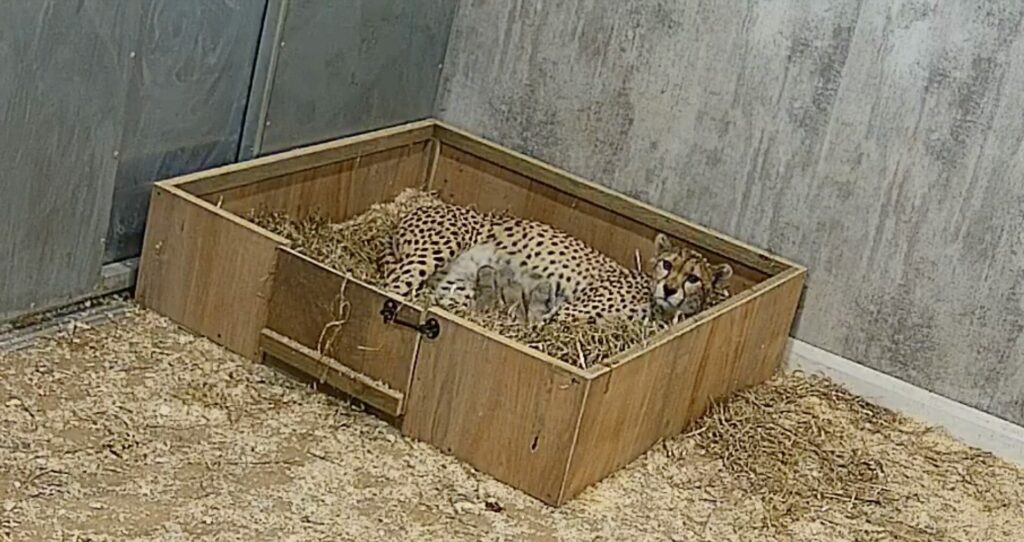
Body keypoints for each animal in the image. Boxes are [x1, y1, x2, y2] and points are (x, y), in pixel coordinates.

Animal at [382, 201, 733, 325]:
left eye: (693, 278)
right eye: (667, 265)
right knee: (391, 284)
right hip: (439, 248)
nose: (669, 289)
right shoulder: (566, 312)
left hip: (459, 287)